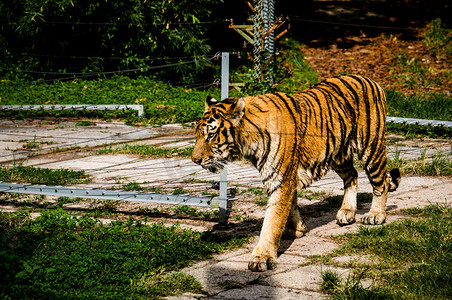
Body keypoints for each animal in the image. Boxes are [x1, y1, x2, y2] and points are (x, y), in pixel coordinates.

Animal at [192, 74, 400, 272]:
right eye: (197, 135)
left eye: (211, 135)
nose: (195, 160)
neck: (249, 144)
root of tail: (371, 80)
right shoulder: (283, 177)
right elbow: (289, 206)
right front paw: (298, 228)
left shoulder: (280, 178)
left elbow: (272, 219)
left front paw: (262, 257)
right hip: (338, 154)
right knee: (353, 176)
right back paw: (347, 212)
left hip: (371, 147)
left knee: (381, 181)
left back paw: (375, 215)